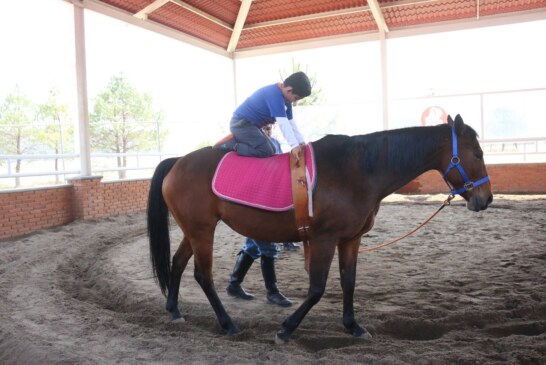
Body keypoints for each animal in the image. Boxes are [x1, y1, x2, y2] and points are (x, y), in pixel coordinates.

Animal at [147, 114, 490, 342]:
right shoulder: (324, 239)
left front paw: (353, 326)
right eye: (477, 153)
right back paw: (227, 323)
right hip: (202, 230)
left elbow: (348, 282)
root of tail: (178, 161)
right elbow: (317, 289)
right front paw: (286, 328)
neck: (356, 170)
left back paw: (174, 309)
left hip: (193, 231)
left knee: (177, 263)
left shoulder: (350, 240)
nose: (486, 198)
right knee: (202, 275)